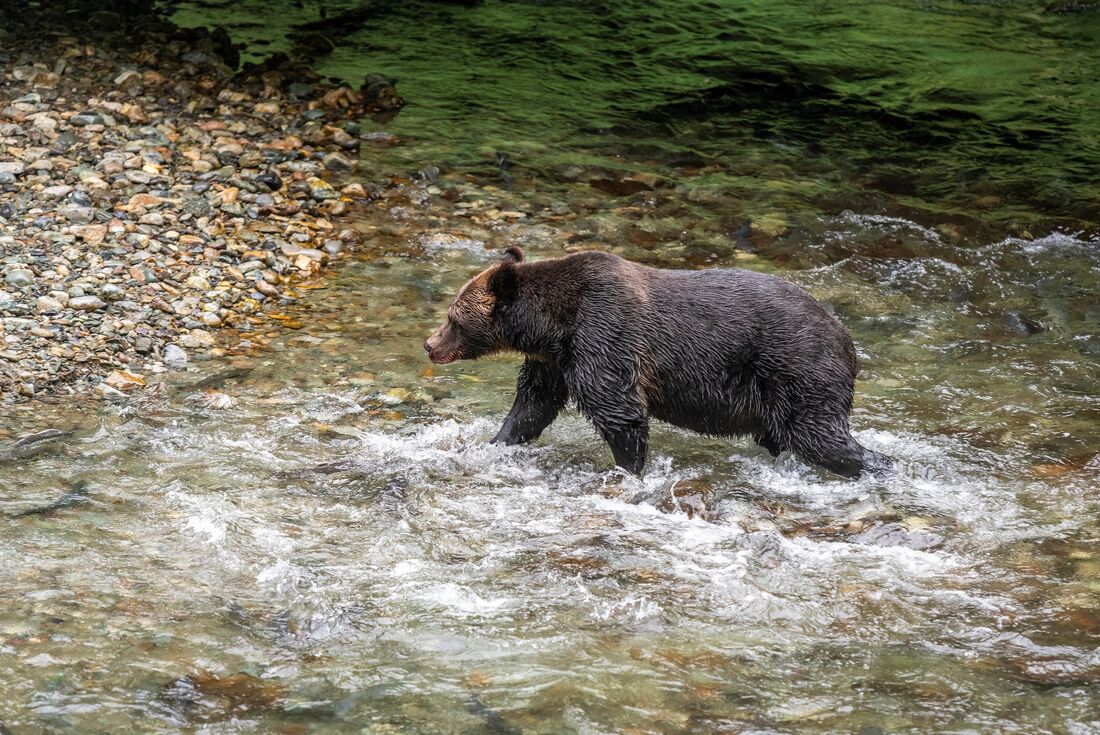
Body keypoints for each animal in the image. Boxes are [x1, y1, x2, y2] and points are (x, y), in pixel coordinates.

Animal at [424, 246, 892, 478]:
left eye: (452, 317)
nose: (429, 344)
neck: (554, 325)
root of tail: (847, 339)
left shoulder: (605, 334)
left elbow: (619, 411)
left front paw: (628, 470)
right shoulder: (554, 361)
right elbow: (532, 406)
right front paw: (494, 442)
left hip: (798, 369)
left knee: (822, 437)